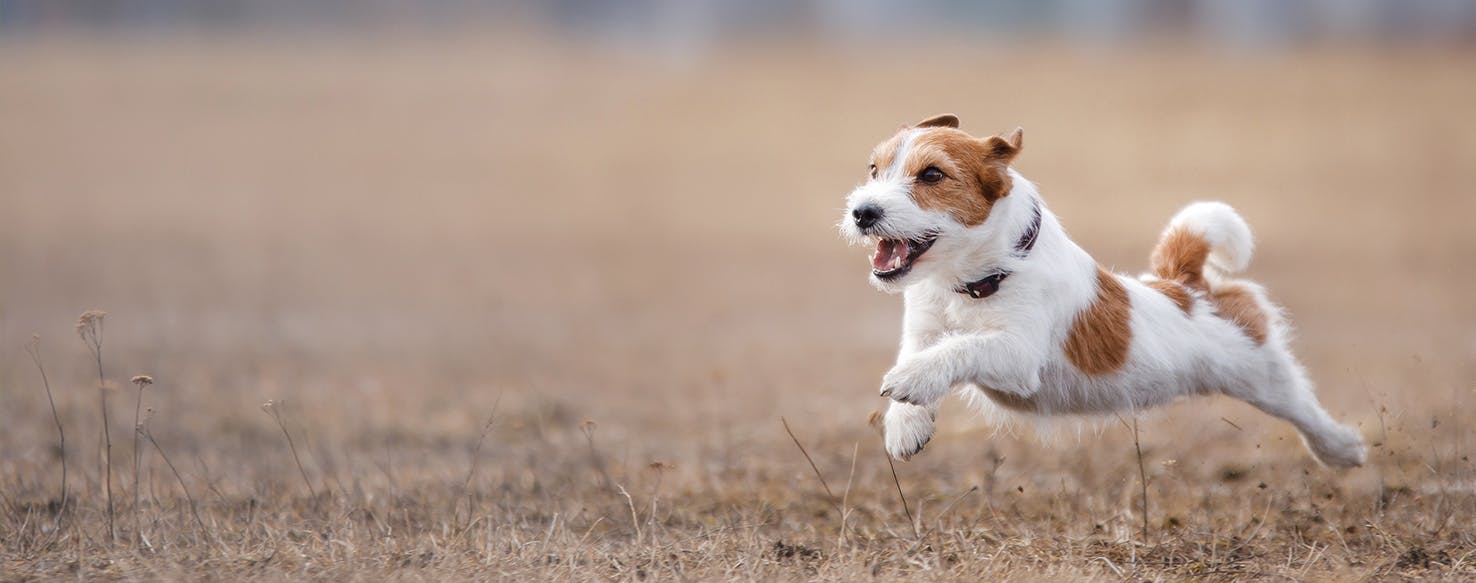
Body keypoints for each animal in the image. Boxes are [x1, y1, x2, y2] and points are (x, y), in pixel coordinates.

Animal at [844, 115, 1369, 469]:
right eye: (873, 170)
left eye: (932, 174)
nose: (862, 212)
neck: (971, 280)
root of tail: (1186, 285)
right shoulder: (923, 328)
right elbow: (923, 351)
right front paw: (905, 425)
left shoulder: (1018, 355)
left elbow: (960, 348)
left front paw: (912, 381)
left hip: (1263, 376)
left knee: (1305, 410)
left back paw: (1343, 449)